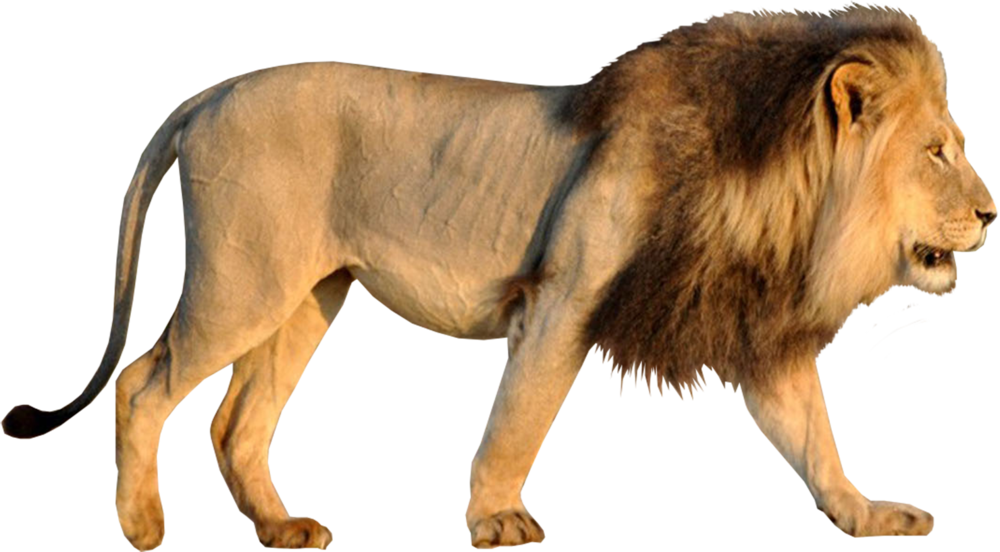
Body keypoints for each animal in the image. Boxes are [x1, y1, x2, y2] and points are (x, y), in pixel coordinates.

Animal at [2, 2, 996, 550]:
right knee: (142, 384)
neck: (786, 200)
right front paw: (495, 523)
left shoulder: (754, 332)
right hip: (241, 282)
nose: (994, 213)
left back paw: (283, 532)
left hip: (309, 297)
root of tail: (208, 92)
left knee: (237, 423)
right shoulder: (563, 299)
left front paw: (868, 514)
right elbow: (520, 420)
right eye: (937, 152)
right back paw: (143, 528)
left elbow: (816, 441)